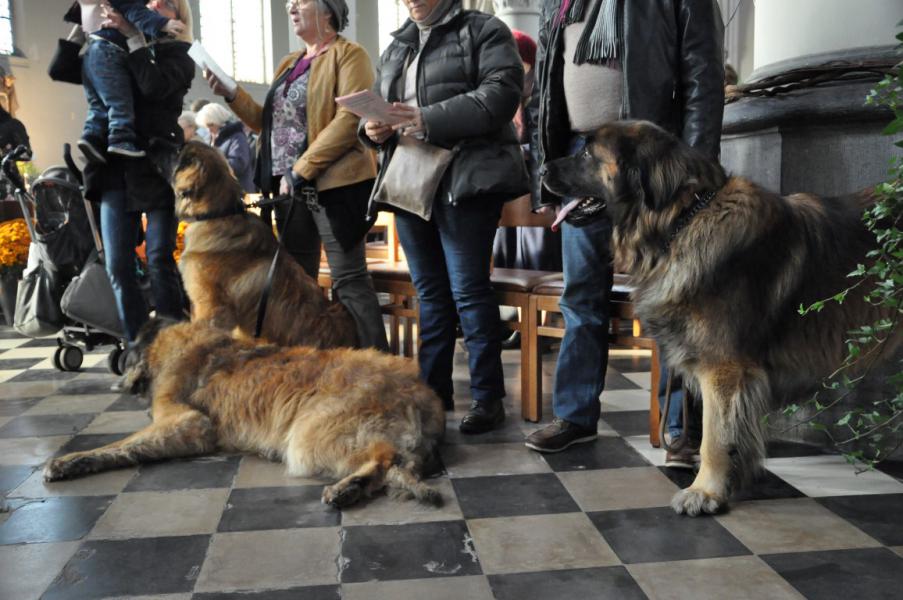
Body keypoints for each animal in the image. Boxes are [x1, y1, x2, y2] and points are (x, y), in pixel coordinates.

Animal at [44, 318, 446, 506]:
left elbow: (118, 444)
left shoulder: (189, 422)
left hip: (311, 435)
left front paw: (69, 461)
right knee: (395, 465)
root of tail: (424, 395)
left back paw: (349, 486)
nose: (121, 377)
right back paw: (354, 487)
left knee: (384, 458)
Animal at [540, 120, 900, 516]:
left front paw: (705, 491)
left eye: (588, 153)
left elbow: (714, 436)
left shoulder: (723, 369)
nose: (540, 169)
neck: (682, 220)